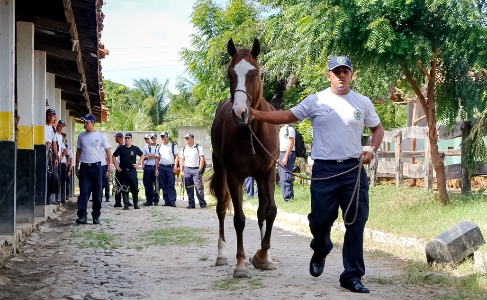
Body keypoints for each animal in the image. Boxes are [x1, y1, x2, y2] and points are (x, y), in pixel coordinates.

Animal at [209, 38, 278, 278]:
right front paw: (240, 263)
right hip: (221, 171)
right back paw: (221, 254)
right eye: (230, 73)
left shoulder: (267, 173)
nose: (240, 112)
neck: (251, 131)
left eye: (254, 73)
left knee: (261, 212)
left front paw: (263, 256)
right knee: (221, 209)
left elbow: (270, 212)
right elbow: (238, 219)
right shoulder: (234, 176)